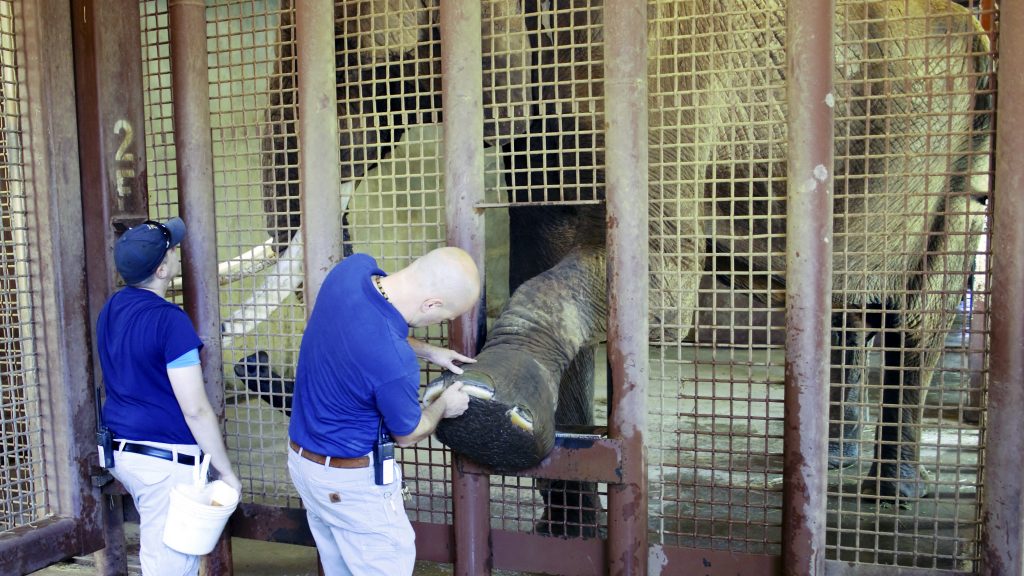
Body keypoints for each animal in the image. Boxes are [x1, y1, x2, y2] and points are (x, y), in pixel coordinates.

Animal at [247, 0, 991, 532]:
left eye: (356, 60)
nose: (255, 369)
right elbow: (548, 258)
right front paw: (567, 534)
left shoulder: (671, 81)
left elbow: (658, 291)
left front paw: (490, 411)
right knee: (846, 313)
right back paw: (835, 462)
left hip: (960, 161)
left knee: (916, 316)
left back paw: (891, 495)